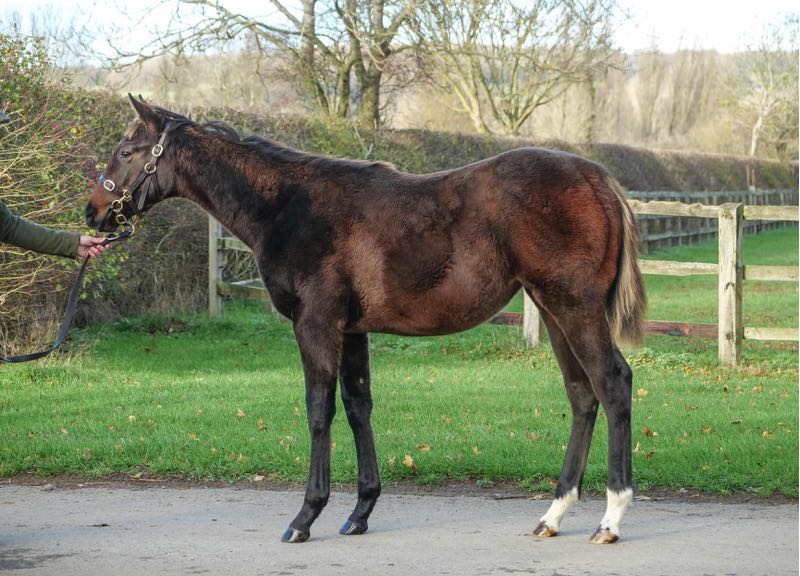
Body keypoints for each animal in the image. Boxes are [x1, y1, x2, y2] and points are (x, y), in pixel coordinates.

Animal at [86, 95, 646, 545]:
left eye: (128, 151)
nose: (94, 214)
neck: (288, 205)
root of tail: (598, 178)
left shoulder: (315, 324)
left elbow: (319, 410)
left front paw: (305, 517)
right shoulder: (352, 330)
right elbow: (359, 407)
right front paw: (359, 512)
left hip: (574, 308)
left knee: (612, 382)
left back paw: (611, 518)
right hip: (552, 311)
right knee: (582, 395)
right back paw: (554, 515)